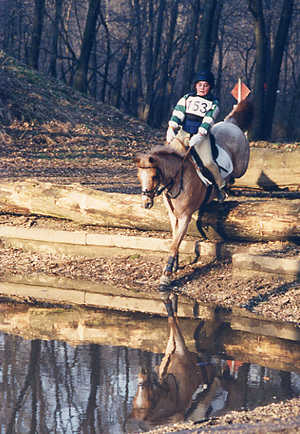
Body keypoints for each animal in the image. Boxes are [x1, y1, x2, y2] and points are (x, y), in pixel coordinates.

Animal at [137, 98, 253, 292]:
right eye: (139, 177)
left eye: (153, 176)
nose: (146, 203)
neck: (176, 179)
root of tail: (230, 124)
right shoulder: (173, 216)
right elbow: (175, 239)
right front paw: (174, 265)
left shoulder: (185, 216)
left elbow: (174, 243)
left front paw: (166, 276)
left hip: (241, 164)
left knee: (233, 175)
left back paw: (224, 189)